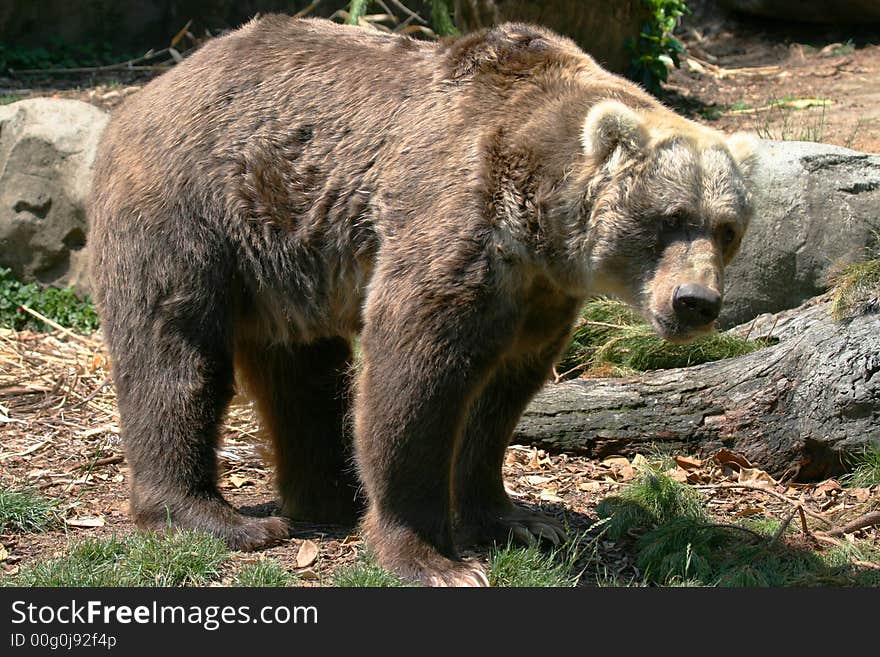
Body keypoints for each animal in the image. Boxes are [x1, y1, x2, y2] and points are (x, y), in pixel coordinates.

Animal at [89, 15, 756, 584]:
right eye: (669, 218)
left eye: (726, 228)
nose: (695, 301)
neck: (541, 217)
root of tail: (151, 88)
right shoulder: (460, 220)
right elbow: (416, 375)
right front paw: (435, 560)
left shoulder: (538, 294)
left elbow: (500, 397)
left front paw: (519, 520)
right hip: (191, 209)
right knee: (176, 356)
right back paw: (213, 517)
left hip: (284, 254)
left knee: (303, 372)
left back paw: (332, 495)